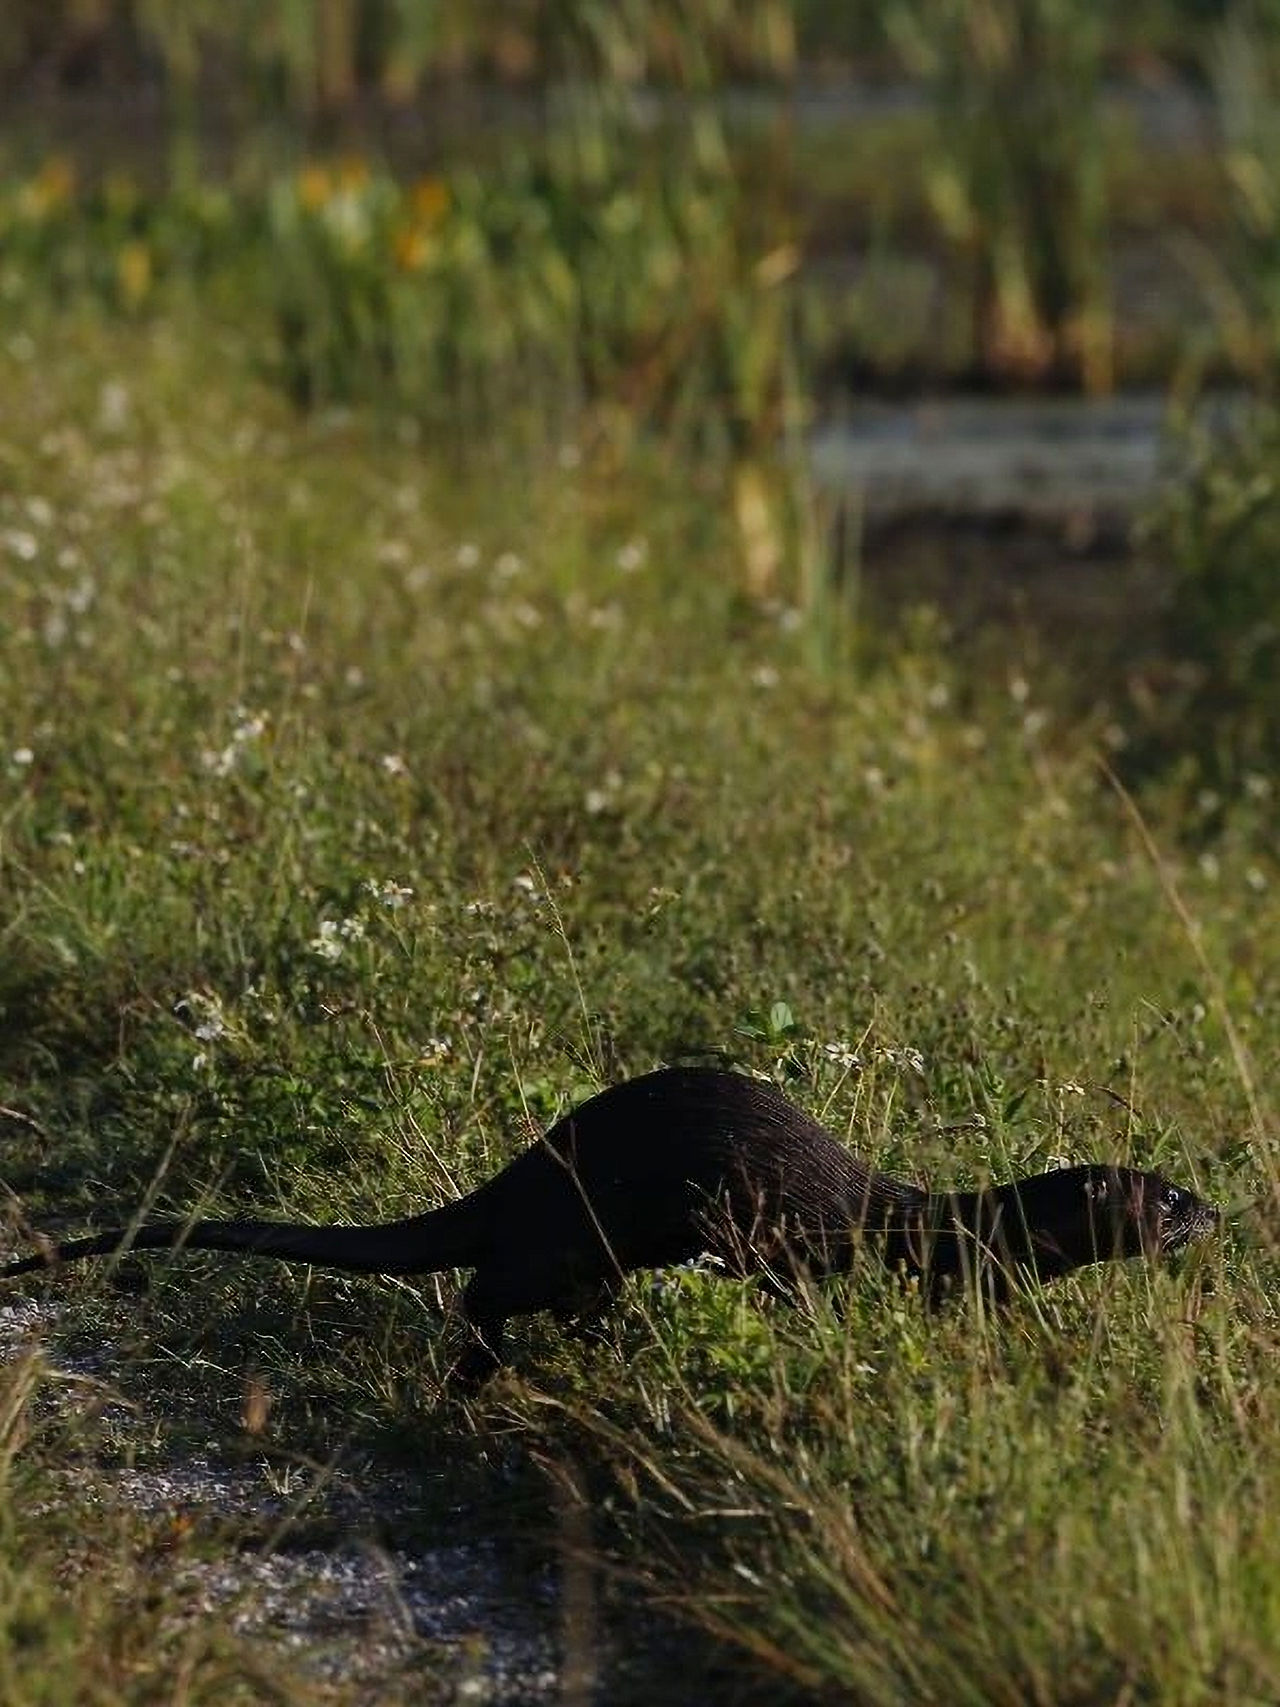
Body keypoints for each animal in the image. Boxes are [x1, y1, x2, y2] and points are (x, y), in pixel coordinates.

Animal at [0, 1068, 1217, 1383]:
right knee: (485, 1284)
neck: (942, 1226)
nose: (1214, 1213)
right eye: (1167, 1198)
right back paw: (479, 1372)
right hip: (568, 1232)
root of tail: (518, 1174)